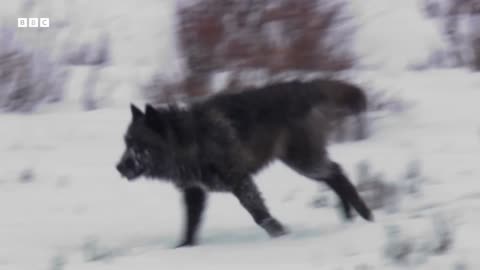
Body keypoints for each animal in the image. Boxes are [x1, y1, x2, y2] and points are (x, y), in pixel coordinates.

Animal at [117, 79, 376, 248]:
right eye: (126, 142)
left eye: (139, 145)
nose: (119, 167)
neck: (190, 139)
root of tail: (302, 86)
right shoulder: (195, 192)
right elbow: (190, 224)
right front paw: (184, 249)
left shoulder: (240, 181)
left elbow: (260, 215)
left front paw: (281, 235)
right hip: (302, 162)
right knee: (333, 175)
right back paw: (349, 218)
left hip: (304, 162)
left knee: (337, 172)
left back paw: (366, 217)